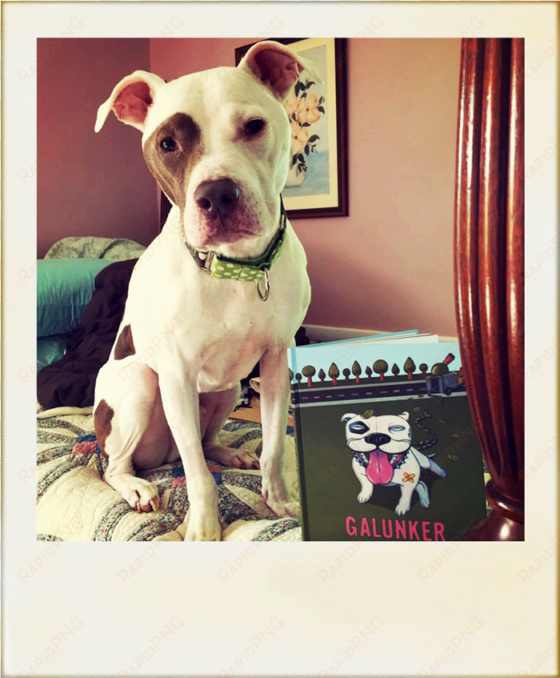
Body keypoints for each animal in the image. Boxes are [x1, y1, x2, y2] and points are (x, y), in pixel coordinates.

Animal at [93, 41, 318, 540]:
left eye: (253, 126)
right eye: (167, 144)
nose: (216, 195)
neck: (237, 270)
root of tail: (158, 459)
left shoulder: (276, 363)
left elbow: (275, 445)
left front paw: (280, 501)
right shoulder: (176, 374)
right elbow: (197, 477)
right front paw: (203, 527)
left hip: (228, 389)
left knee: (203, 440)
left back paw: (229, 453)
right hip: (142, 385)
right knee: (117, 465)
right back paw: (137, 487)